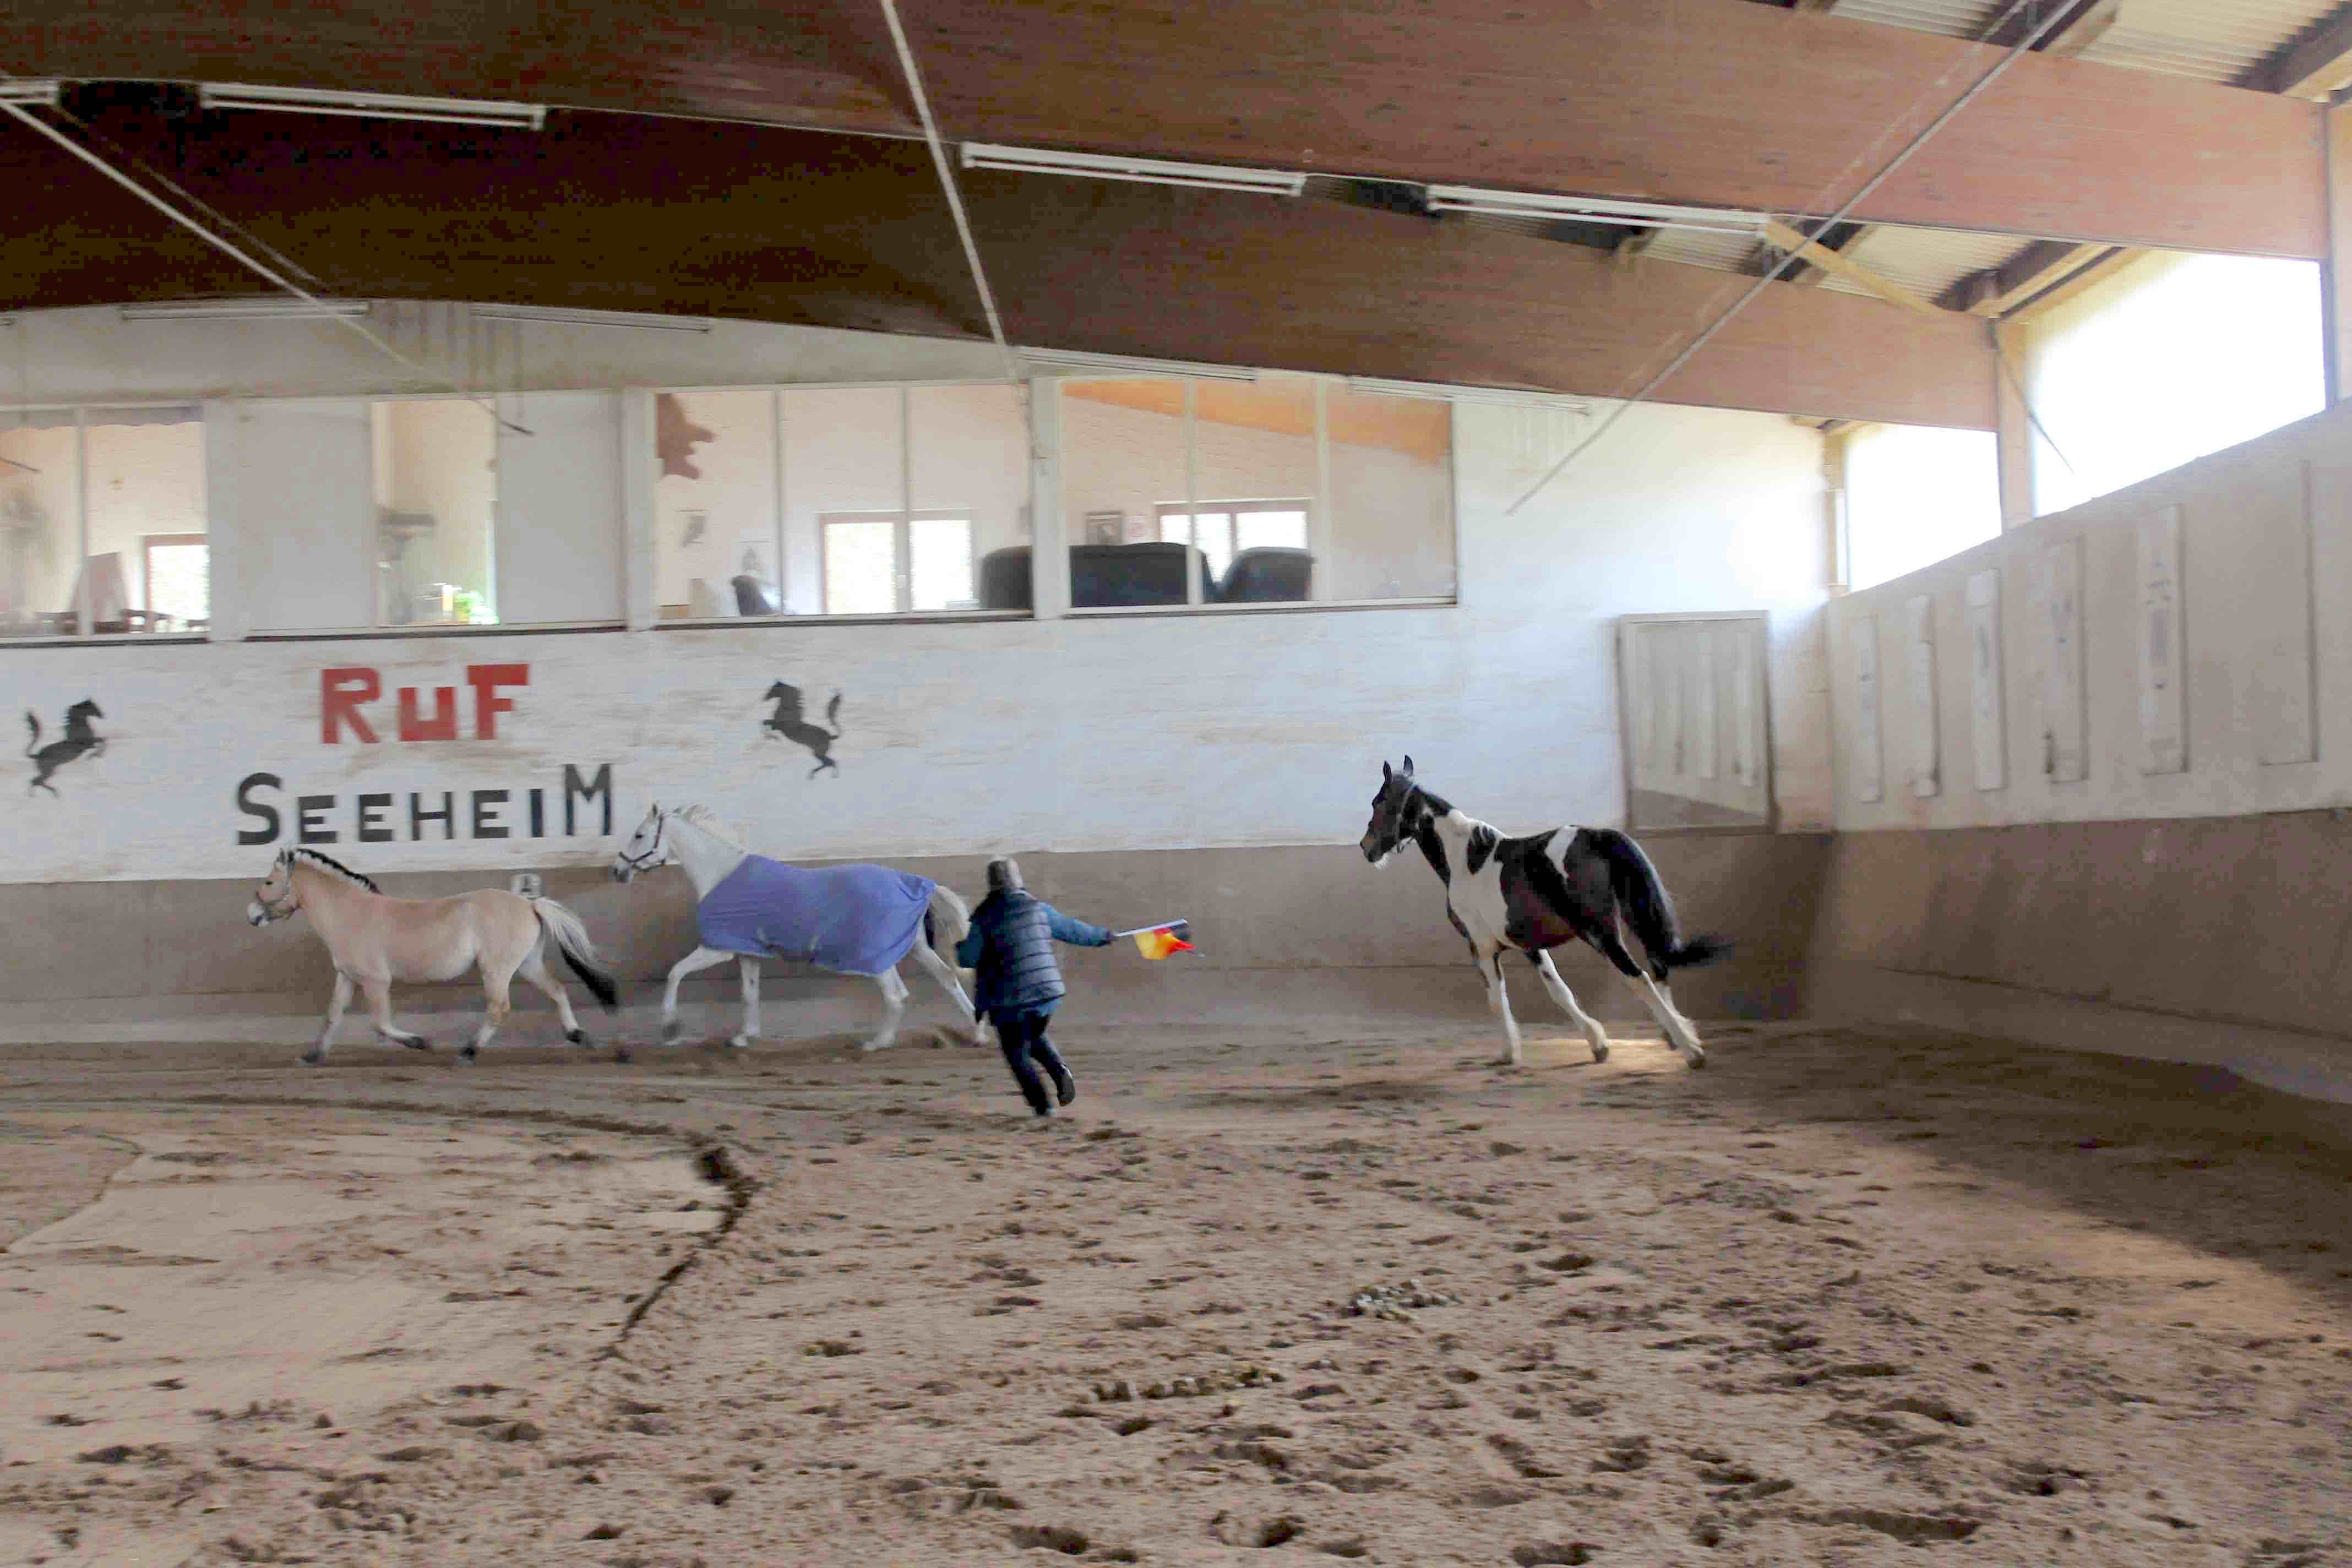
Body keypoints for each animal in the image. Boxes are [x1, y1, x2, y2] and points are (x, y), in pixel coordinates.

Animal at [26, 699, 104, 796]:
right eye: (93, 707)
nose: (103, 715)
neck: (79, 727)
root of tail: (37, 755)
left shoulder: (90, 744)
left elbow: (102, 741)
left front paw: (95, 755)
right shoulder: (89, 744)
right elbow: (103, 741)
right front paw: (95, 755)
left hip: (50, 771)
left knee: (36, 781)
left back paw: (50, 793)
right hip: (48, 771)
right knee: (36, 781)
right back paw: (51, 793)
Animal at [245, 847, 622, 1067]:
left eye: (269, 882)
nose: (252, 915)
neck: (350, 913)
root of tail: (529, 903)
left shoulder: (375, 981)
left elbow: (379, 1022)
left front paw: (421, 1042)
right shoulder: (348, 977)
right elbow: (332, 1015)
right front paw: (311, 1056)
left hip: (497, 969)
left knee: (499, 1008)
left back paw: (467, 1053)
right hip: (527, 964)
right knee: (558, 991)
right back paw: (580, 1037)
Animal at [609, 802, 982, 1053]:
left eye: (639, 835)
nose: (618, 871)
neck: (720, 874)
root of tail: (914, 882)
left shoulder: (718, 949)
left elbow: (675, 973)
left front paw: (670, 1029)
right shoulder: (748, 952)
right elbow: (749, 993)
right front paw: (744, 1036)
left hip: (879, 957)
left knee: (896, 995)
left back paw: (877, 1043)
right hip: (915, 947)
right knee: (947, 978)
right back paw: (977, 1035)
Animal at [761, 683, 842, 777]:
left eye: (773, 689)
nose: (764, 698)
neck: (788, 709)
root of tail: (830, 737)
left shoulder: (777, 725)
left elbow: (765, 722)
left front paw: (773, 738)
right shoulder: (775, 726)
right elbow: (765, 723)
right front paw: (772, 738)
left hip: (819, 753)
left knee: (830, 763)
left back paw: (819, 775)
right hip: (819, 753)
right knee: (829, 763)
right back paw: (815, 774)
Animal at [1360, 757, 1729, 1069]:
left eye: (1378, 802)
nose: (1366, 848)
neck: (1465, 859)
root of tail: (1596, 837)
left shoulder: (1481, 948)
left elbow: (1497, 999)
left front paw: (1509, 1053)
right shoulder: (1530, 946)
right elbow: (1560, 992)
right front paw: (1598, 1045)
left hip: (1601, 933)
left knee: (1640, 977)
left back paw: (1690, 1049)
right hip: (1633, 919)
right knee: (1659, 965)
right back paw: (1676, 1035)